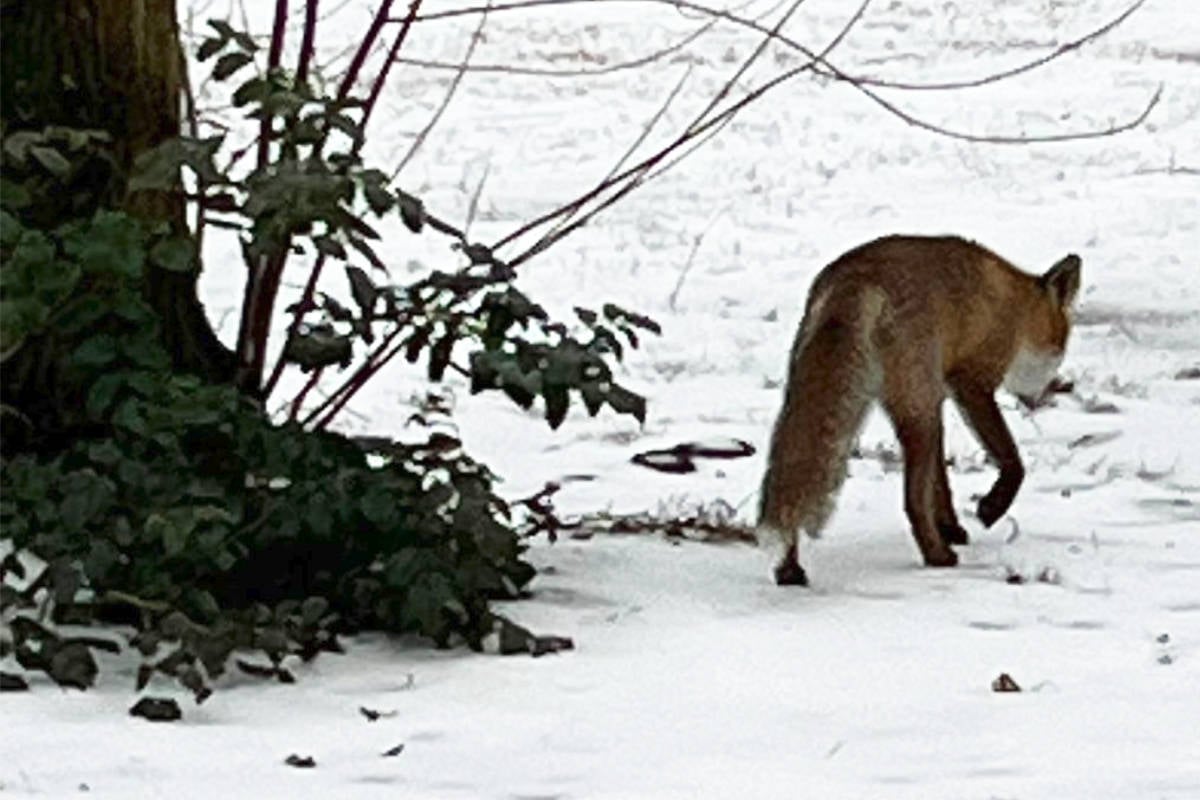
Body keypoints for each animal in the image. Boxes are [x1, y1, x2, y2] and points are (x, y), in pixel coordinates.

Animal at [758, 235, 1081, 586]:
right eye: (1060, 349)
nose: (1045, 393)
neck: (1012, 307)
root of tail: (858, 275)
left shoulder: (938, 395)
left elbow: (941, 484)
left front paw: (951, 527)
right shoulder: (971, 385)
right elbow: (1012, 463)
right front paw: (990, 508)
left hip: (843, 400)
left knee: (791, 468)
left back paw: (788, 568)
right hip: (918, 412)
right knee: (911, 500)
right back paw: (937, 557)